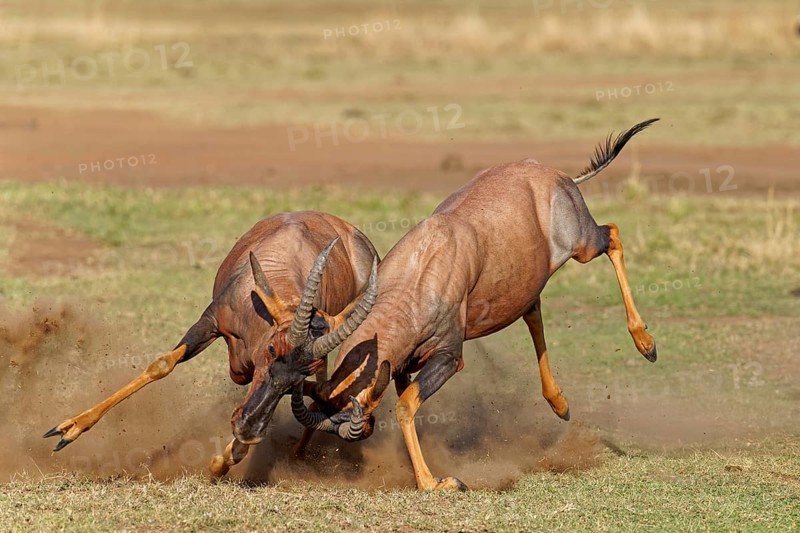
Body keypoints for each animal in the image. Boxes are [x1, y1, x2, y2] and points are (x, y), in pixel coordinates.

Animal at [44, 211, 379, 478]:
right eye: (273, 349)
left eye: (302, 373)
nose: (248, 429)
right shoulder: (210, 322)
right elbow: (162, 365)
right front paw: (67, 430)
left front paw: (223, 460)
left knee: (323, 390)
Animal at [291, 119, 660, 491]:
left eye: (362, 410)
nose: (365, 430)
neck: (424, 265)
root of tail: (555, 174)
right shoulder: (405, 364)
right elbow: (408, 401)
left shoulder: (450, 357)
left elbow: (406, 406)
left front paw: (436, 483)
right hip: (526, 281)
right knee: (533, 311)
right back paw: (560, 403)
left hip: (583, 246)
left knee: (611, 234)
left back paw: (646, 344)